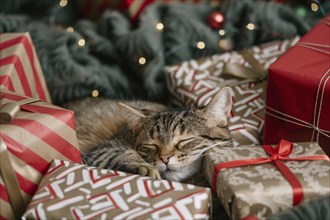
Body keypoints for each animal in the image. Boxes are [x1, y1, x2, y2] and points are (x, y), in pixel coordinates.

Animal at [64, 87, 233, 181]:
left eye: (184, 140)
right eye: (152, 145)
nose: (165, 159)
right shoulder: (101, 150)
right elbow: (122, 154)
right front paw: (144, 167)